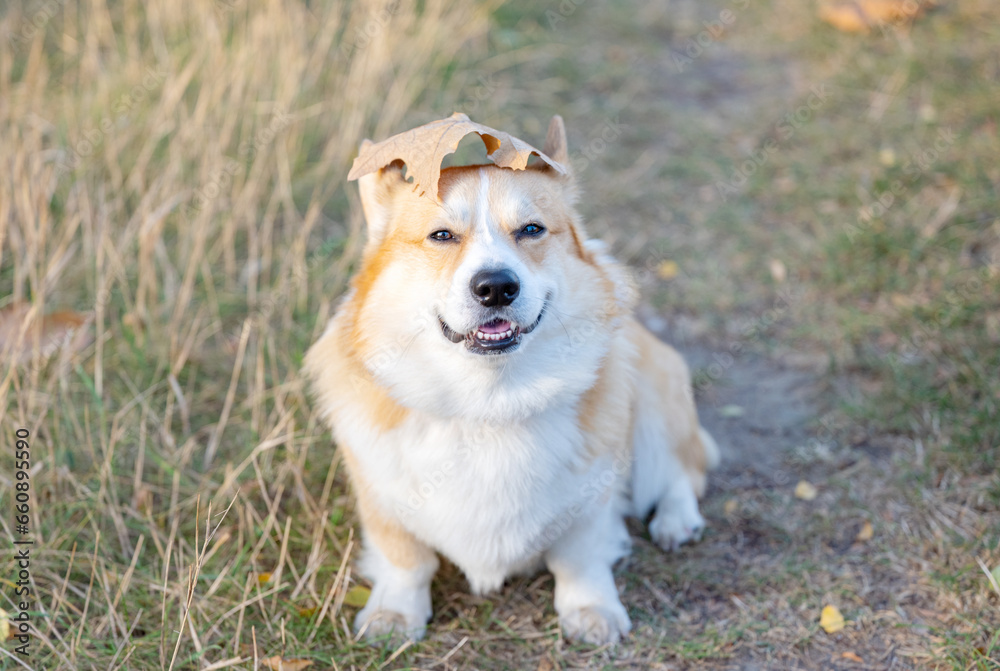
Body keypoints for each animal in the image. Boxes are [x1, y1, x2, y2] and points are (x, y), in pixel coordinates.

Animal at [304, 115, 720, 644]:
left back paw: (676, 520)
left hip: (651, 395)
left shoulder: (591, 498)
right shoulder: (381, 496)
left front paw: (592, 610)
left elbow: (581, 557)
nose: (496, 287)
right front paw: (394, 615)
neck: (489, 401)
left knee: (682, 469)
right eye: (442, 235)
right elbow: (406, 561)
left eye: (531, 230)